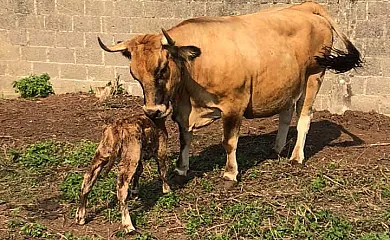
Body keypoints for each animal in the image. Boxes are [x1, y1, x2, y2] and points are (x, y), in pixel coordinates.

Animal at [96, 0, 362, 187]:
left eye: (162, 69)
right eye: (134, 74)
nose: (152, 111)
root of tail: (305, 8)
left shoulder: (234, 105)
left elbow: (229, 141)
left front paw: (230, 173)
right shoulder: (182, 111)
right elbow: (185, 139)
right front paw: (181, 169)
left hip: (314, 76)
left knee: (305, 117)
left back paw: (296, 157)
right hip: (287, 83)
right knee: (286, 115)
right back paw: (276, 149)